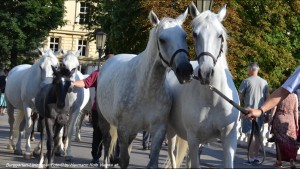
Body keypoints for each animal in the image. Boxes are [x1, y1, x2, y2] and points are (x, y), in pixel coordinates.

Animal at [97, 10, 193, 168]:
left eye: (184, 36)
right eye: (162, 39)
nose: (185, 71)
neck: (146, 89)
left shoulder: (158, 129)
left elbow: (152, 162)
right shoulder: (123, 129)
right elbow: (124, 160)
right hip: (104, 121)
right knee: (107, 143)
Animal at [166, 3, 239, 168]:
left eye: (220, 35)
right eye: (194, 34)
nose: (206, 73)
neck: (212, 100)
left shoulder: (229, 139)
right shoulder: (193, 139)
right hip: (171, 132)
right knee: (172, 156)